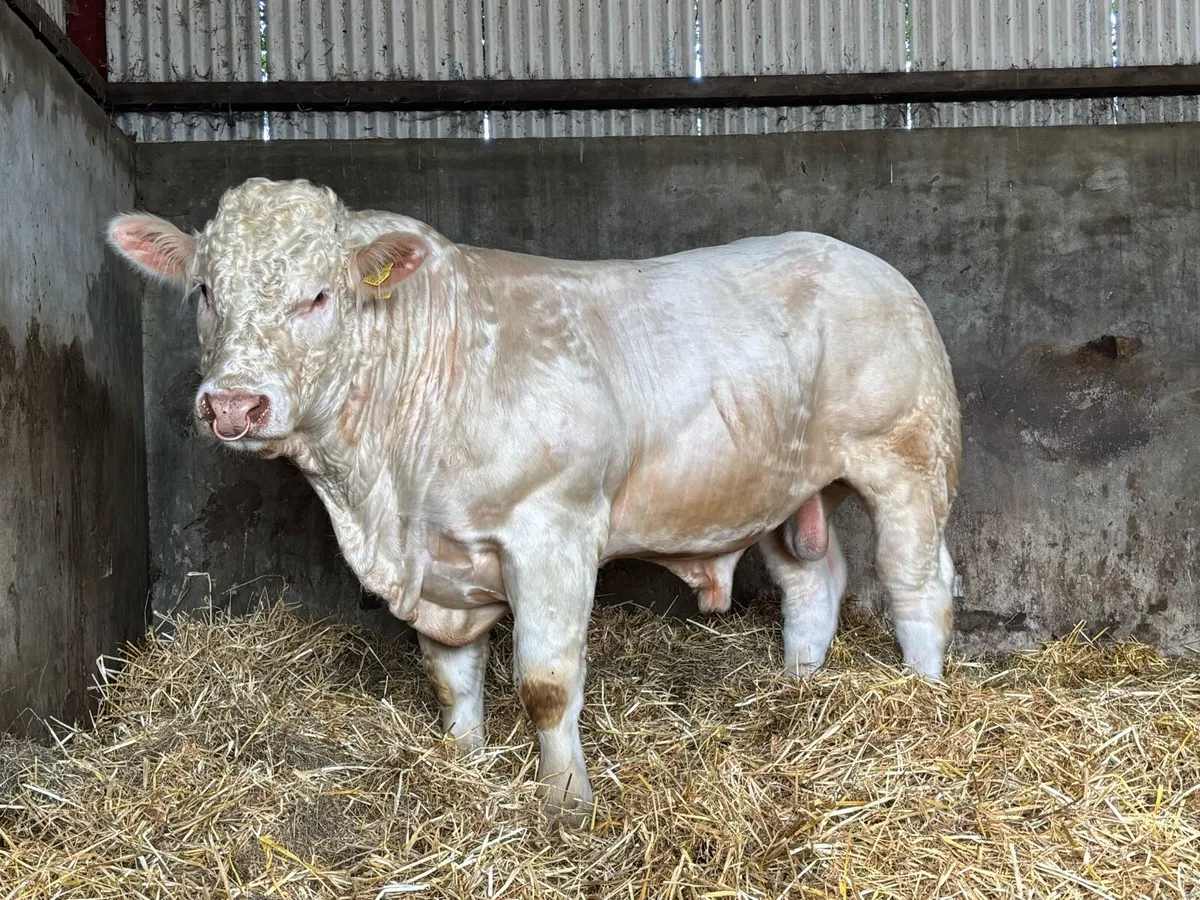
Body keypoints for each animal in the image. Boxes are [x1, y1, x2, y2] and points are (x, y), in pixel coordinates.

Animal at [107, 177, 961, 825]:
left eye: (319, 296)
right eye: (205, 291)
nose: (233, 404)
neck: (384, 494)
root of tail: (859, 259)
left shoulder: (554, 528)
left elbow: (546, 684)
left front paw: (566, 802)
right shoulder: (439, 561)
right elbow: (450, 674)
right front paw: (465, 760)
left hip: (907, 457)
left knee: (918, 582)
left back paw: (923, 698)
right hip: (788, 485)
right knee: (813, 580)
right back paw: (797, 685)